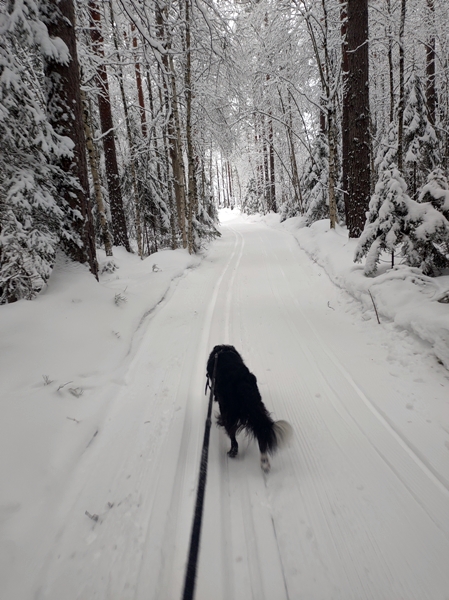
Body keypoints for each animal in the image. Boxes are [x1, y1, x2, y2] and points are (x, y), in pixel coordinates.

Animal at [206, 344, 292, 472]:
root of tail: (242, 385)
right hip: (257, 409)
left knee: (233, 437)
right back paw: (264, 464)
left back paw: (232, 452)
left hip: (229, 413)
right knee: (261, 434)